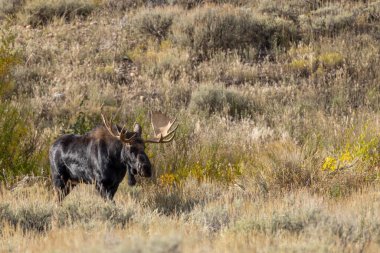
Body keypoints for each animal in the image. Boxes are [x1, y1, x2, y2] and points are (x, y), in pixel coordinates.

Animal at [49, 111, 178, 203]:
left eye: (144, 147)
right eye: (130, 147)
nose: (146, 168)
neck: (116, 162)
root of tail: (50, 148)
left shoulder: (115, 184)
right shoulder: (99, 183)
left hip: (71, 182)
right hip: (59, 178)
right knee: (56, 199)